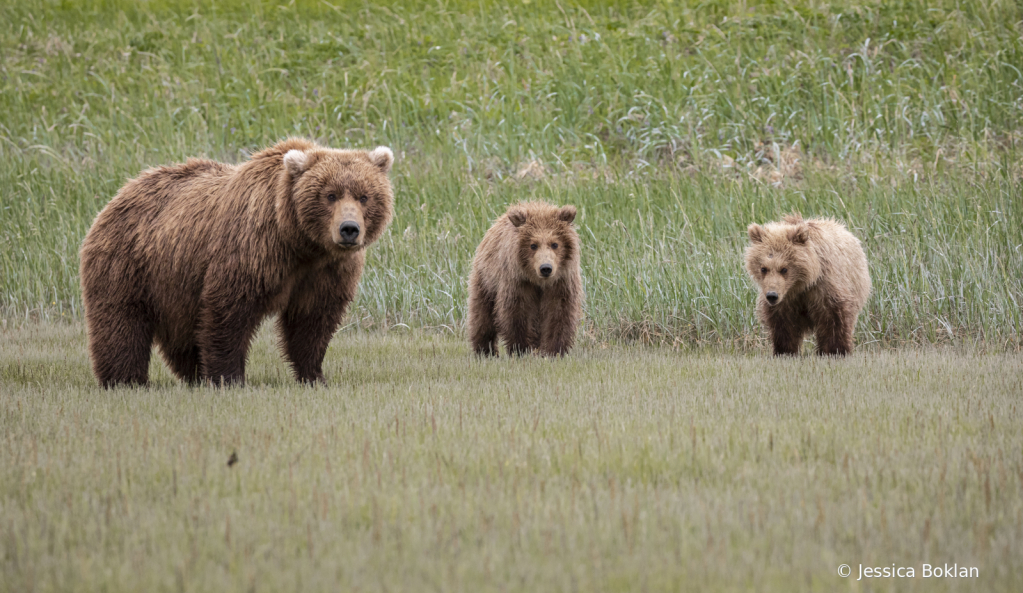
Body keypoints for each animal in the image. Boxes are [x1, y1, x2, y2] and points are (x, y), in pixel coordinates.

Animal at [79, 139, 394, 388]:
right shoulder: (253, 251)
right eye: (330, 195)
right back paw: (126, 380)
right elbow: (229, 311)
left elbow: (312, 321)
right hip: (128, 262)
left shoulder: (326, 271)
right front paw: (229, 378)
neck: (300, 243)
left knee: (182, 332)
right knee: (121, 322)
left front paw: (314, 376)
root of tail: (122, 191)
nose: (349, 229)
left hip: (175, 280)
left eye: (364, 196)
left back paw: (192, 376)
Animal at [466, 199, 581, 355]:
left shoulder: (561, 282)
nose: (546, 268)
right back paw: (485, 350)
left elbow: (559, 313)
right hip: (486, 279)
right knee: (482, 316)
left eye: (555, 244)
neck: (539, 282)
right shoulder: (518, 282)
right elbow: (518, 313)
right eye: (533, 245)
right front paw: (521, 349)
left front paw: (554, 350)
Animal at [744, 216, 871, 359]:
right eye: (763, 268)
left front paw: (836, 351)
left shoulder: (824, 287)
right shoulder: (786, 300)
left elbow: (834, 318)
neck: (800, 284)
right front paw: (785, 351)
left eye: (784, 269)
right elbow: (783, 325)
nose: (772, 295)